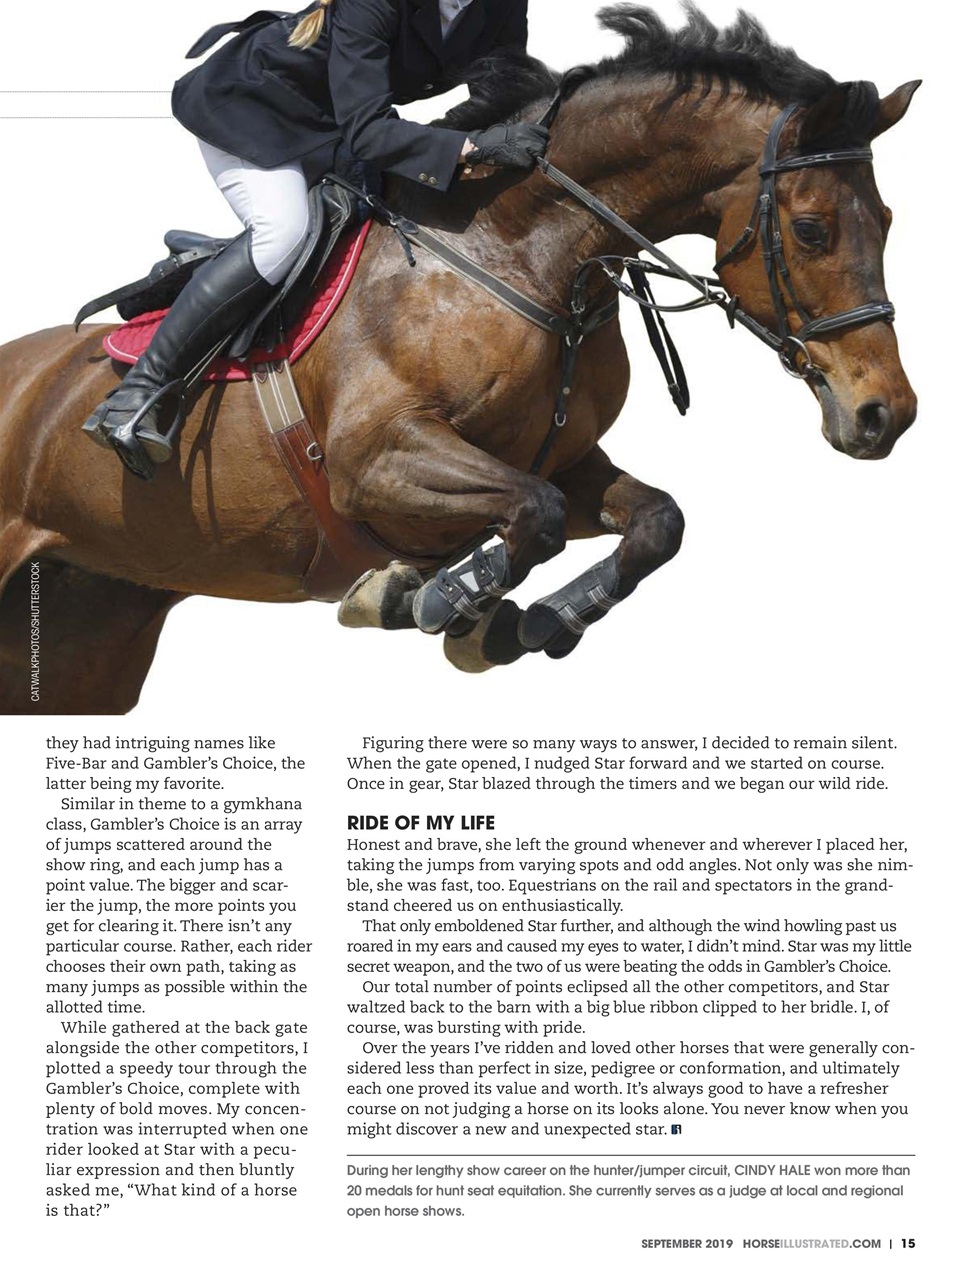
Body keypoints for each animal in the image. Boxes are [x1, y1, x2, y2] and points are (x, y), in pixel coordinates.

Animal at [0, 5, 918, 714]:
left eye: (886, 219)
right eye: (811, 229)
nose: (886, 415)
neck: (518, 253)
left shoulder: (560, 456)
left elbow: (653, 521)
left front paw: (525, 620)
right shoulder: (375, 462)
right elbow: (532, 516)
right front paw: (420, 595)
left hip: (88, 631)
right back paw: (134, 416)